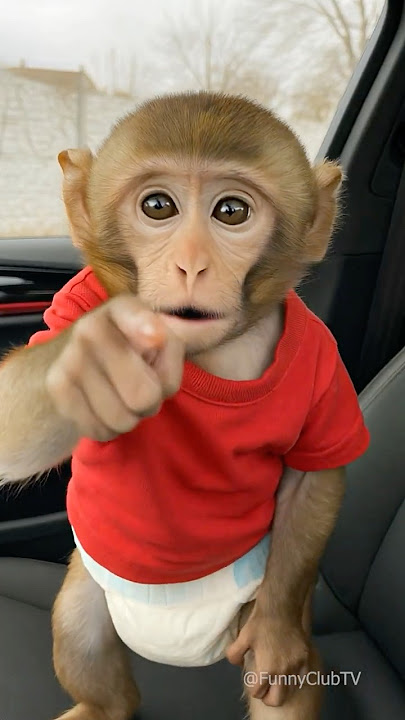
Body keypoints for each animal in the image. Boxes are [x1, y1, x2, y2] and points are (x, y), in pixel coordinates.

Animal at [0, 91, 369, 720]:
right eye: (158, 206)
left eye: (231, 212)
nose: (192, 264)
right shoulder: (77, 301)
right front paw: (90, 361)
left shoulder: (325, 360)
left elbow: (312, 479)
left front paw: (275, 636)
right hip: (90, 593)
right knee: (82, 635)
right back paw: (100, 707)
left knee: (286, 678)